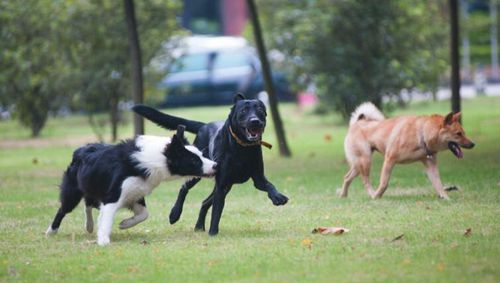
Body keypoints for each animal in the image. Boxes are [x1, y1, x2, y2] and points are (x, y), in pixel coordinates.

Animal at [47, 126, 217, 246]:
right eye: (194, 160)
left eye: (202, 155)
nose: (216, 165)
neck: (155, 159)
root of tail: (80, 149)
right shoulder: (113, 195)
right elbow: (107, 218)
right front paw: (103, 240)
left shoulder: (135, 193)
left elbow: (144, 214)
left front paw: (125, 224)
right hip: (73, 192)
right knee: (63, 209)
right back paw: (51, 231)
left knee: (88, 204)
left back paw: (89, 226)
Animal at [133, 93, 290, 237]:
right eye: (244, 111)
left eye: (260, 110)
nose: (255, 121)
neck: (242, 148)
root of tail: (204, 126)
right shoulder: (221, 184)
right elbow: (217, 211)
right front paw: (213, 233)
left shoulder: (257, 178)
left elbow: (269, 185)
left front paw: (278, 197)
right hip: (199, 171)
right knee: (184, 188)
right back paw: (175, 214)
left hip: (227, 185)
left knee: (205, 202)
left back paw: (199, 226)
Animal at [342, 102, 474, 200]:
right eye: (458, 134)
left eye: (464, 133)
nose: (473, 144)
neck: (422, 134)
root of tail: (357, 122)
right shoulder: (389, 159)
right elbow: (384, 183)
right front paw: (377, 196)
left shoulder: (430, 165)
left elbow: (438, 184)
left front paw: (446, 198)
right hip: (365, 160)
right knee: (365, 181)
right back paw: (372, 194)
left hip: (358, 164)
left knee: (347, 177)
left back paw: (343, 195)